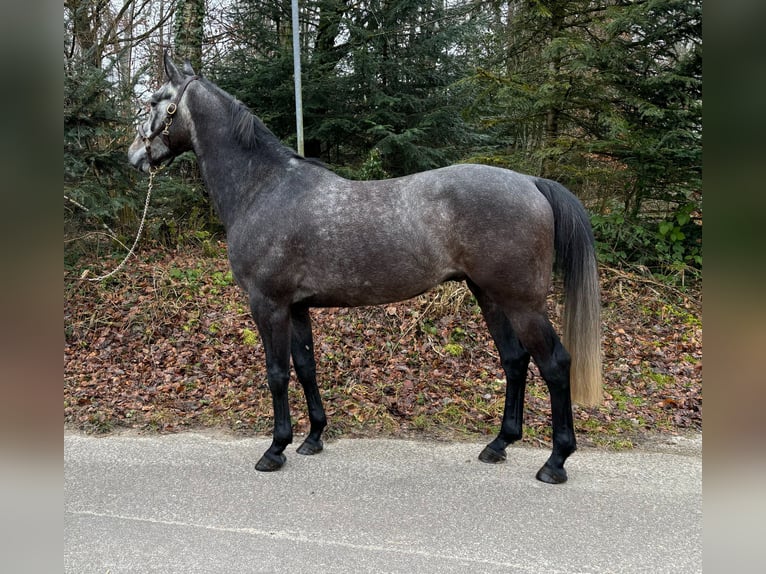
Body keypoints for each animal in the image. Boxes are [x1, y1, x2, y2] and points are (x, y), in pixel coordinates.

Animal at [129, 52, 602, 484]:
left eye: (155, 101)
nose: (134, 155)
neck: (263, 189)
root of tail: (531, 183)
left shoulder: (269, 305)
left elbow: (277, 374)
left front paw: (275, 449)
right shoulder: (297, 307)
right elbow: (306, 367)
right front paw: (313, 438)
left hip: (522, 302)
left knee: (554, 364)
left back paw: (555, 462)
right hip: (488, 295)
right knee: (515, 360)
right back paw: (499, 444)